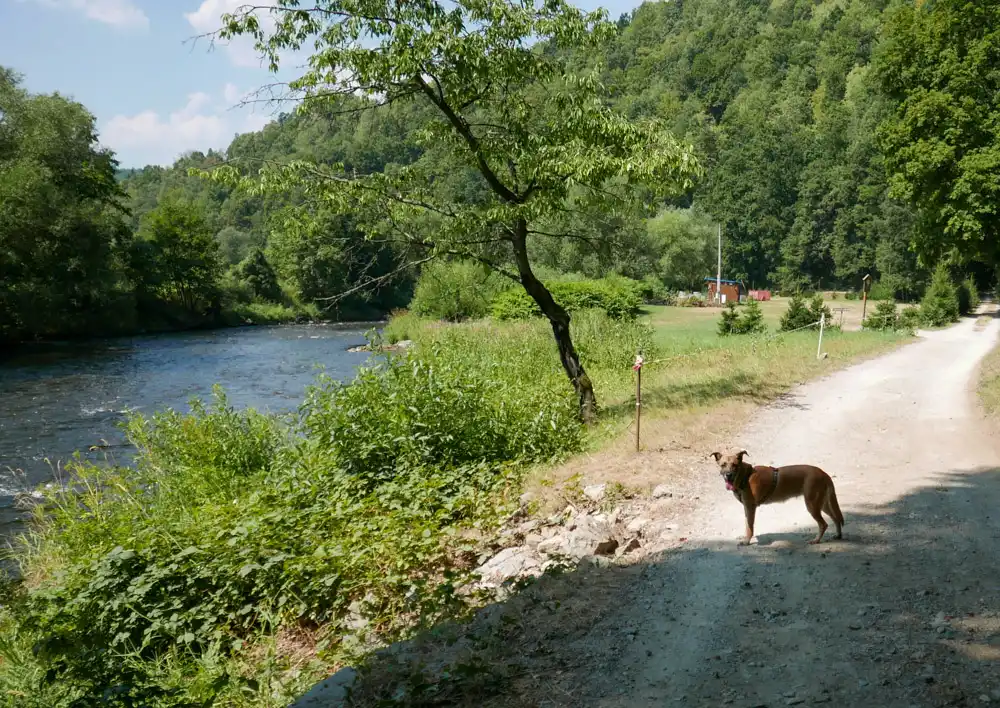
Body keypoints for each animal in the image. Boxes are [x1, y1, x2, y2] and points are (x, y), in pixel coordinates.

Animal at [712, 450, 844, 544]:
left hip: (812, 505)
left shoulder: (750, 507)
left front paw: (747, 541)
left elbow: (749, 527)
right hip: (822, 504)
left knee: (824, 524)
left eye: (734, 465)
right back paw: (838, 535)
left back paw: (816, 540)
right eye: (723, 465)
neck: (745, 476)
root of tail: (823, 474)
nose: (728, 475)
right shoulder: (746, 508)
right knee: (835, 518)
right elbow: (747, 525)